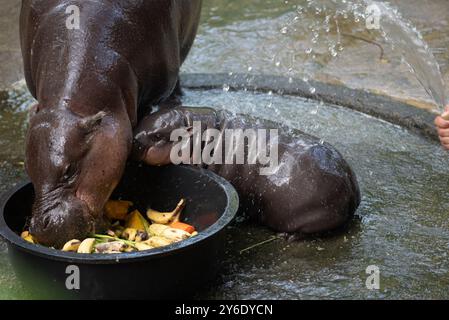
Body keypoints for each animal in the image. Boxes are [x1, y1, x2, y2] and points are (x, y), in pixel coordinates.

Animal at [131, 107, 358, 238]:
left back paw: (286, 237)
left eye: (158, 135)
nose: (133, 139)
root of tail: (349, 181)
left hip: (310, 216)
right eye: (140, 120)